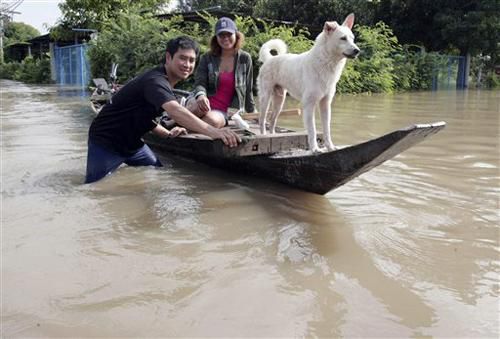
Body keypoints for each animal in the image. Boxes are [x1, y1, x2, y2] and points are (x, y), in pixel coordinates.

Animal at [258, 13, 360, 151]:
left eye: (352, 39)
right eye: (343, 38)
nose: (357, 50)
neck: (326, 63)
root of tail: (270, 59)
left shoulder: (325, 104)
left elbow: (327, 130)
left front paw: (330, 147)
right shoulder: (309, 105)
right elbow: (312, 130)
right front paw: (315, 149)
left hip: (280, 100)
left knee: (272, 120)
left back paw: (272, 136)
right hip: (266, 98)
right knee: (262, 120)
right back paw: (263, 136)